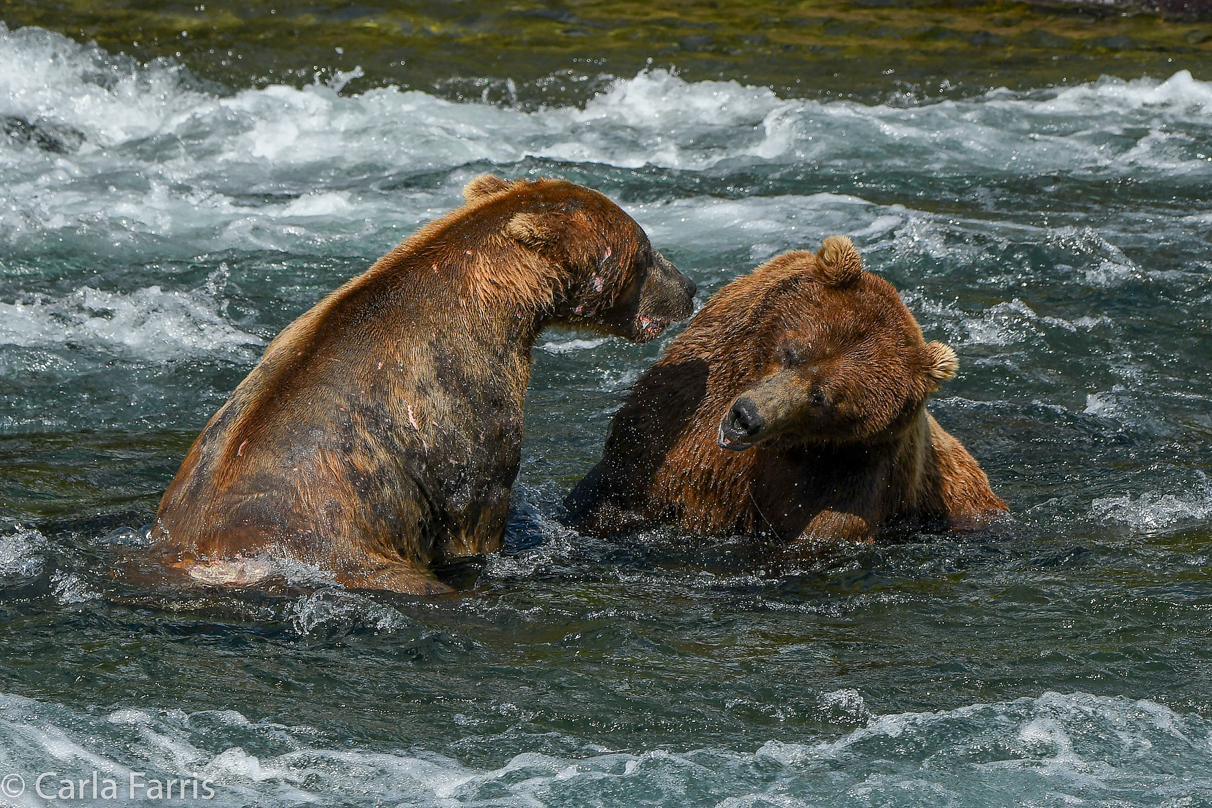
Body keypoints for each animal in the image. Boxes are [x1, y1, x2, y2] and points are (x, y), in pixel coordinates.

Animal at [149, 175, 702, 593]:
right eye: (645, 252)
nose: (690, 287)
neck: (502, 307)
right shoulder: (460, 400)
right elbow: (475, 501)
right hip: (352, 553)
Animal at [562, 237, 1008, 547]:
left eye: (822, 398)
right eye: (794, 352)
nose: (746, 418)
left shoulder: (844, 470)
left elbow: (819, 534)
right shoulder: (677, 413)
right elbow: (623, 481)